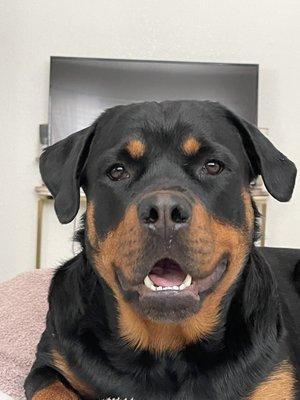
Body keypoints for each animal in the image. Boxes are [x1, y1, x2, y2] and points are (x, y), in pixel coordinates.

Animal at [24, 101, 298, 400]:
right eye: (117, 171)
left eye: (213, 166)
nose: (165, 210)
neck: (166, 345)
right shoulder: (49, 363)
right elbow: (53, 389)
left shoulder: (273, 380)